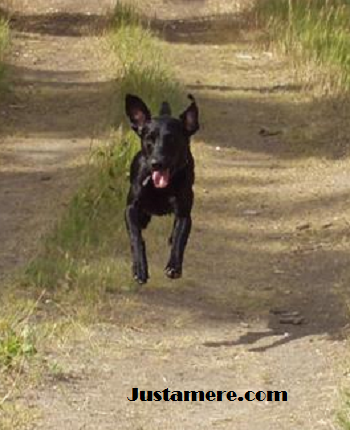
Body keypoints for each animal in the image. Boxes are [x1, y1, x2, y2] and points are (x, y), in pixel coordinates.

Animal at [125, 92, 200, 284]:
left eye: (172, 139)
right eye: (148, 139)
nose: (156, 163)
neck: (160, 187)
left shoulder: (184, 213)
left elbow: (180, 238)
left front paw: (174, 267)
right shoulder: (131, 208)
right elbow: (136, 237)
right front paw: (139, 268)